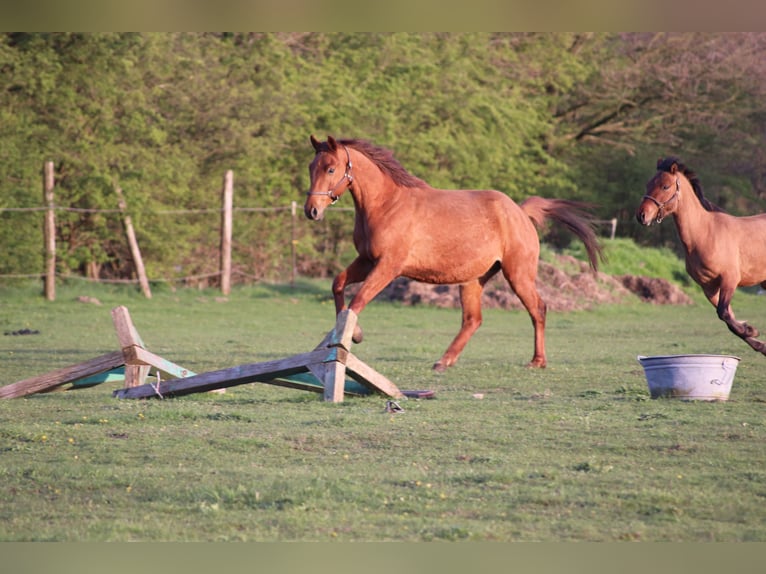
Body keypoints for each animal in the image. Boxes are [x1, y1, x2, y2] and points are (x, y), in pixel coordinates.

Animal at [304, 136, 604, 372]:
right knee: (473, 320)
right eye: (311, 167)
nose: (312, 211)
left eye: (330, 168)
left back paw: (537, 361)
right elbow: (338, 285)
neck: (387, 204)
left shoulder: (388, 266)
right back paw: (444, 361)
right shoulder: (367, 261)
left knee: (538, 309)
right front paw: (354, 334)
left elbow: (358, 300)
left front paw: (349, 338)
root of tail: (519, 211)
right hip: (473, 280)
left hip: (518, 274)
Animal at [640, 158, 766, 356]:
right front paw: (755, 338)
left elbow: (724, 313)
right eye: (648, 184)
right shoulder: (709, 288)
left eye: (665, 186)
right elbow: (728, 319)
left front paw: (751, 330)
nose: (642, 215)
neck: (705, 233)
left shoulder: (730, 279)